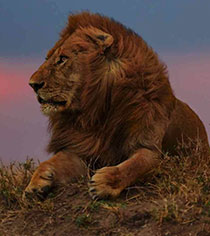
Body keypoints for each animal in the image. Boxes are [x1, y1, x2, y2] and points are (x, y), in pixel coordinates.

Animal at [24, 11, 208, 199]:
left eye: (62, 59)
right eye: (48, 58)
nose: (32, 84)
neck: (96, 111)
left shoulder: (151, 148)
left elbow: (136, 165)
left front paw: (104, 182)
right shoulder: (82, 150)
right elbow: (51, 162)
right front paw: (35, 184)